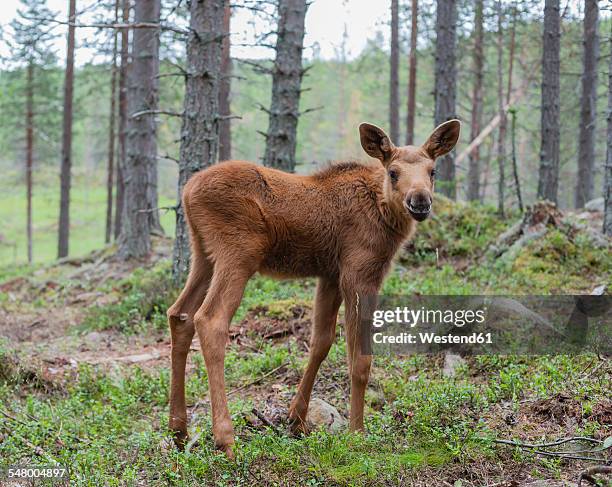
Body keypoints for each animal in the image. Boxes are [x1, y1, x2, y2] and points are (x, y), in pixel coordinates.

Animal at [165, 119, 462, 458]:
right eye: (393, 172)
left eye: (433, 171)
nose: (420, 202)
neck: (385, 214)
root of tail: (188, 191)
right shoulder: (359, 272)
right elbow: (359, 360)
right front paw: (357, 433)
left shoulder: (330, 275)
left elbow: (320, 342)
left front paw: (296, 419)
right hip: (238, 254)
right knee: (210, 320)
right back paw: (225, 438)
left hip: (202, 254)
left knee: (179, 314)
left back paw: (178, 430)